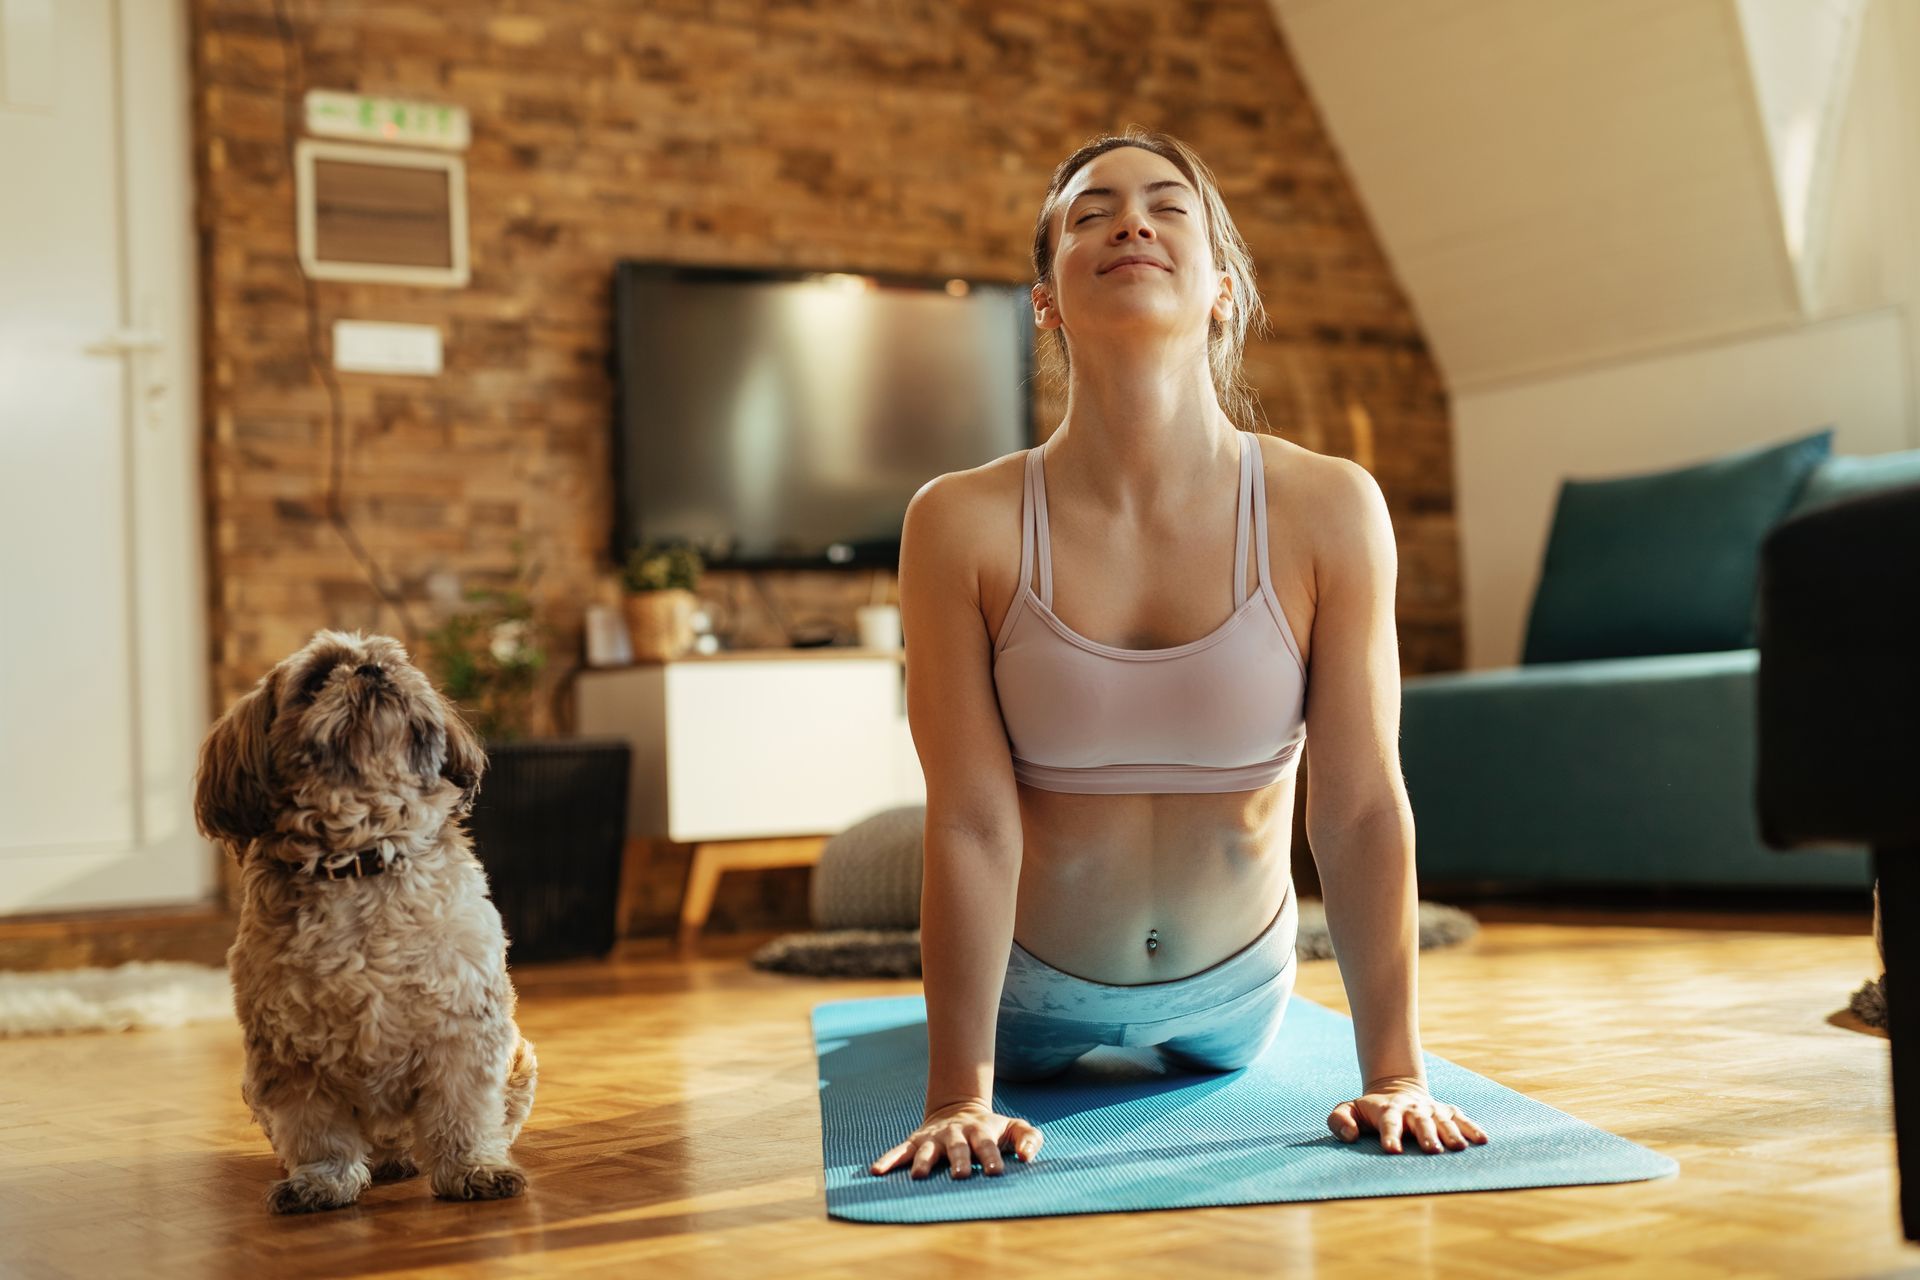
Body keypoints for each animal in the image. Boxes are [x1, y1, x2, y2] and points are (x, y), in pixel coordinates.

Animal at [193, 629, 537, 1212]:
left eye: (393, 661)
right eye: (316, 681)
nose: (372, 671)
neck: (363, 858)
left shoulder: (464, 1030)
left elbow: (463, 1112)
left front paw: (473, 1169)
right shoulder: (287, 1052)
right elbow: (317, 1130)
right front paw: (320, 1182)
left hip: (522, 1057)